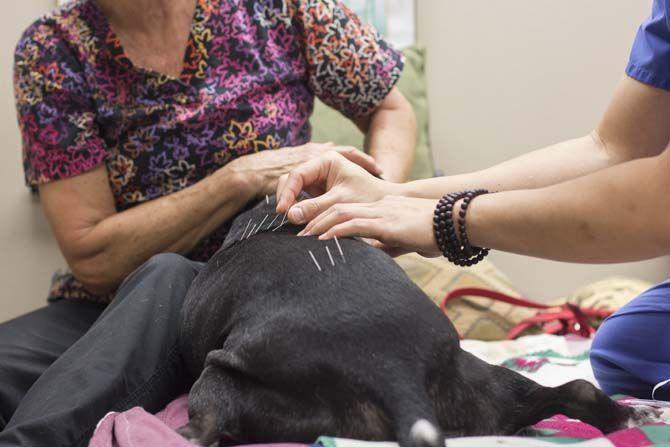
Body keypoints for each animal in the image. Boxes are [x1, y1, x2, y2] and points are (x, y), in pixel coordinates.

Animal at [177, 200, 660, 447]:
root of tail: (390, 367)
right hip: (488, 388)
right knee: (576, 390)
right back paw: (630, 415)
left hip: (222, 383)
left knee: (210, 426)